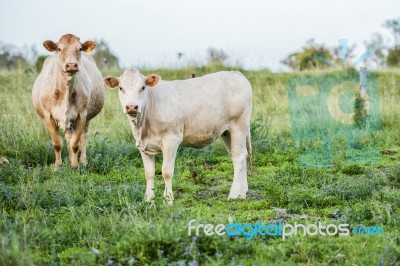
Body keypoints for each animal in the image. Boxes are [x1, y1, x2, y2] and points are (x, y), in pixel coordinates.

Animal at [32, 33, 104, 168]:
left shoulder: (81, 115)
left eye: (79, 48)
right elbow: (57, 143)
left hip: (86, 118)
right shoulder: (48, 116)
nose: (71, 65)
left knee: (83, 137)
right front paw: (57, 166)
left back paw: (83, 160)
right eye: (59, 49)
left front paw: (75, 165)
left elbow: (75, 143)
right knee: (68, 137)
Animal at [104, 69, 252, 204]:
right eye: (121, 88)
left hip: (238, 125)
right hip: (227, 132)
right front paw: (149, 200)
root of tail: (236, 73)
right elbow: (149, 173)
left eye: (143, 87)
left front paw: (168, 200)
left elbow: (166, 171)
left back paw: (234, 195)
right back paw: (243, 192)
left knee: (239, 158)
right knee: (241, 156)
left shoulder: (172, 139)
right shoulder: (143, 146)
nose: (131, 107)